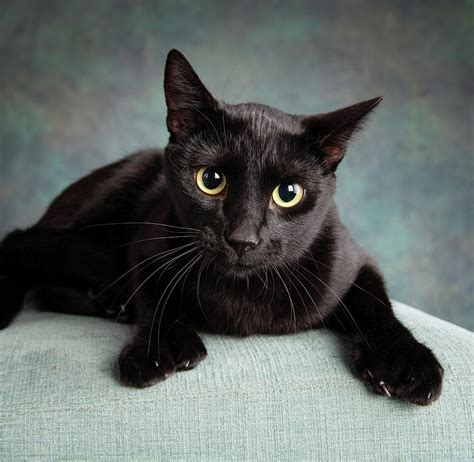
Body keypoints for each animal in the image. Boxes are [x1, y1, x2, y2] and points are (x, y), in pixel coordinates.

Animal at [0, 49, 444, 404]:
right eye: (210, 180)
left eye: (289, 193)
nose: (242, 238)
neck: (244, 296)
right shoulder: (146, 244)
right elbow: (155, 293)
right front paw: (156, 349)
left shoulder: (351, 260)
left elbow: (374, 303)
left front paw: (407, 363)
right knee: (31, 261)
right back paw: (112, 301)